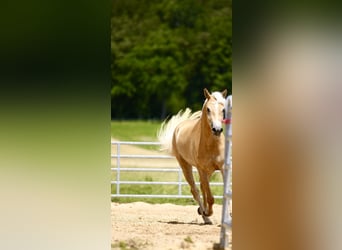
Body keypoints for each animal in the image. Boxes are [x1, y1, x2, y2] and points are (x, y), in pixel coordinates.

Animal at [159, 88, 228, 225]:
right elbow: (210, 197)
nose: (217, 129)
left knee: (202, 187)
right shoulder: (201, 169)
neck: (212, 144)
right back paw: (205, 216)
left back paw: (203, 212)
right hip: (186, 166)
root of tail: (179, 127)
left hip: (207, 171)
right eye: (208, 109)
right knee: (195, 190)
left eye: (223, 109)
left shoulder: (222, 168)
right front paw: (207, 213)